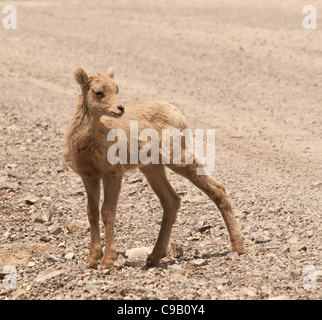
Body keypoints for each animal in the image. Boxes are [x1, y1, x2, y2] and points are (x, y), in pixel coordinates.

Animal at [63, 67, 244, 270]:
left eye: (117, 90)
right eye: (98, 92)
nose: (120, 108)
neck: (88, 143)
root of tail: (177, 112)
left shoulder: (113, 173)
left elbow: (107, 212)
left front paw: (107, 260)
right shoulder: (89, 176)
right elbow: (92, 213)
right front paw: (91, 261)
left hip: (177, 158)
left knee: (217, 189)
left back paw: (238, 246)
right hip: (152, 168)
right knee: (171, 201)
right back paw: (153, 257)